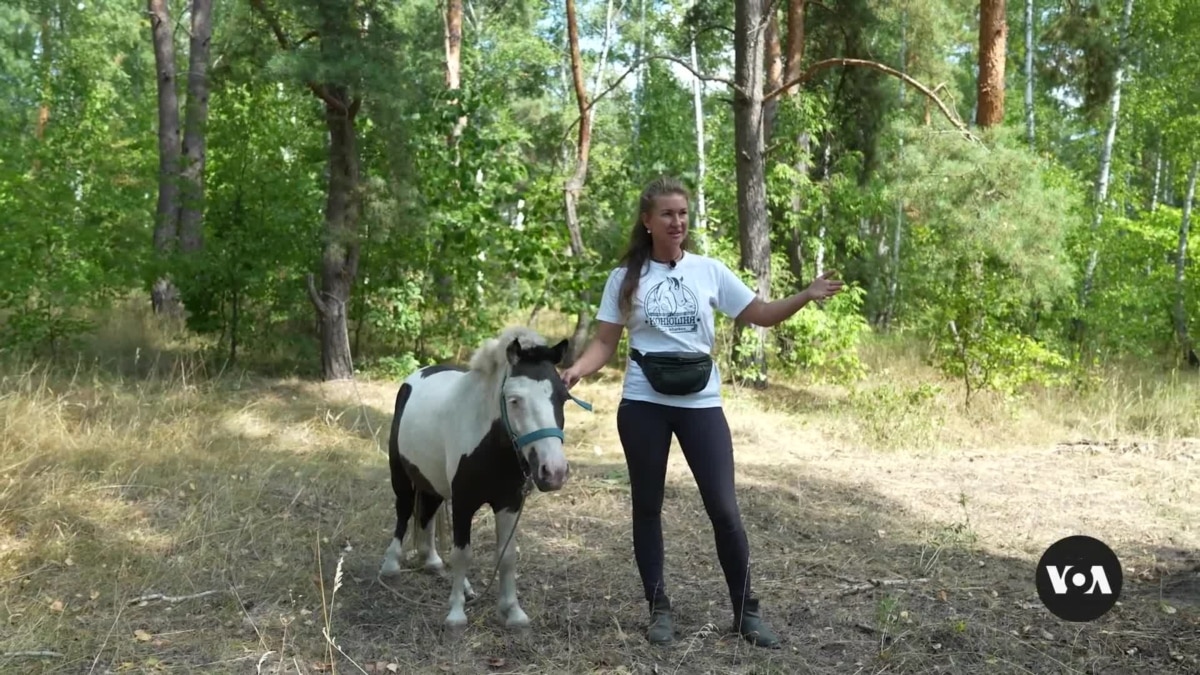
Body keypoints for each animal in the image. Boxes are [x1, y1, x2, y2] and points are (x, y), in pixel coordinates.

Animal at [374, 326, 590, 624]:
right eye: (514, 400)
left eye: (563, 398)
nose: (554, 472)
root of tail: (416, 376)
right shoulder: (463, 503)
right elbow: (462, 554)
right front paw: (456, 614)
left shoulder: (509, 504)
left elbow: (507, 555)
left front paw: (513, 611)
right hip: (401, 476)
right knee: (404, 511)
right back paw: (391, 566)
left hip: (432, 482)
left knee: (426, 515)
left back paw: (433, 563)